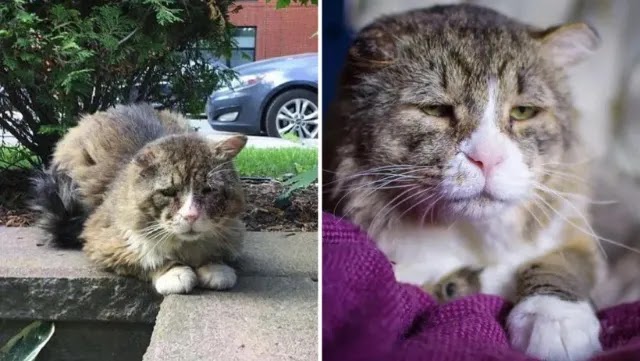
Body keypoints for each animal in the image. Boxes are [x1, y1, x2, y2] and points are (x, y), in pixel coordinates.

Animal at [31, 102, 248, 294]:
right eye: (169, 192)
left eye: (208, 191)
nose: (191, 216)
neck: (186, 247)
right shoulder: (102, 239)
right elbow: (147, 258)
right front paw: (175, 273)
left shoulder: (234, 230)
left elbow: (216, 251)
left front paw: (215, 267)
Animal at [324, 3, 604, 360]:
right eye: (435, 110)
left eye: (523, 112)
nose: (487, 158)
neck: (470, 234)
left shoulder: (574, 230)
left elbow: (560, 263)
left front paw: (554, 318)